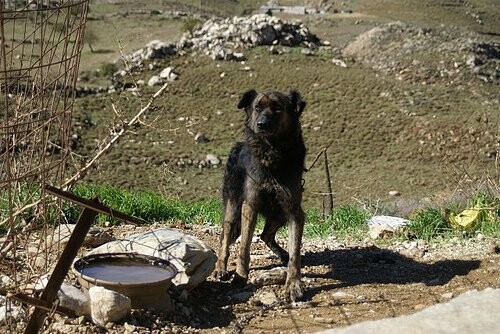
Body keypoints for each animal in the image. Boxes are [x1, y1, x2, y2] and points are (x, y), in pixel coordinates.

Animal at [216, 88, 306, 302]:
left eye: (277, 107)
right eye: (257, 108)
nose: (261, 124)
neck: (272, 153)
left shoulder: (294, 210)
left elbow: (295, 252)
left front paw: (293, 285)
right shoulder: (250, 205)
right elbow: (244, 247)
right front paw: (240, 277)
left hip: (279, 213)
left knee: (265, 234)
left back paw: (282, 254)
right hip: (233, 206)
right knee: (225, 237)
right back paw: (220, 268)